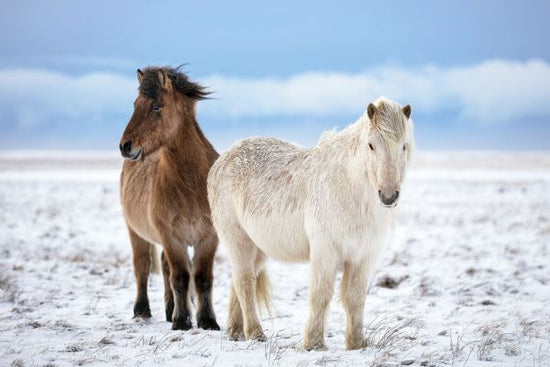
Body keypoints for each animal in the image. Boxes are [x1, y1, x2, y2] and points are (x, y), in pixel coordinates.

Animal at [119, 67, 221, 334]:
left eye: (156, 106)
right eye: (135, 104)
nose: (125, 146)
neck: (191, 184)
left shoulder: (208, 237)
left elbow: (202, 278)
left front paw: (207, 321)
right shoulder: (172, 237)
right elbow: (181, 278)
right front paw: (182, 321)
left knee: (165, 268)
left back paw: (168, 309)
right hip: (136, 232)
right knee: (142, 267)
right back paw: (142, 310)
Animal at [209, 98, 416, 350]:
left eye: (404, 146)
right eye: (371, 145)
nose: (388, 195)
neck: (350, 190)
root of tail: (222, 159)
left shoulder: (363, 256)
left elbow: (355, 298)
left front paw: (357, 344)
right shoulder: (325, 251)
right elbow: (321, 294)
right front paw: (313, 343)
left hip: (259, 248)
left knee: (239, 281)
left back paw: (236, 332)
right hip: (237, 240)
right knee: (245, 282)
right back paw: (255, 334)